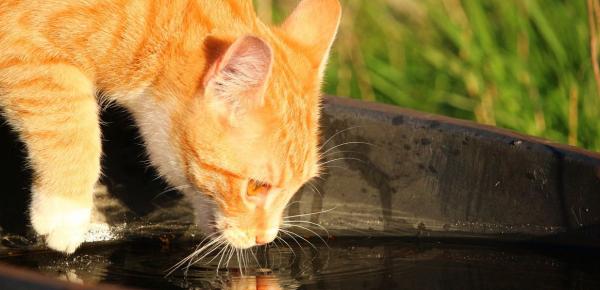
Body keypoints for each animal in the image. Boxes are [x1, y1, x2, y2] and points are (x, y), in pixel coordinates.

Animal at [0, 0, 338, 253]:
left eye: (298, 186)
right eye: (257, 186)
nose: (264, 238)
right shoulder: (21, 46)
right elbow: (69, 118)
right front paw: (65, 212)